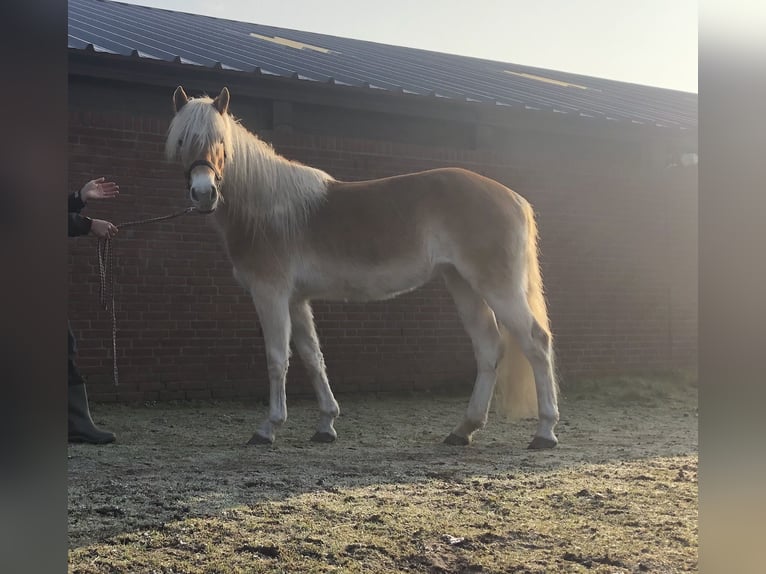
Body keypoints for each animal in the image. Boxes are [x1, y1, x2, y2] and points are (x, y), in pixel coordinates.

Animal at [165, 88, 560, 452]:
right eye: (183, 140)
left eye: (219, 141)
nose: (204, 193)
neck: (268, 209)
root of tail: (514, 198)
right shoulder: (296, 300)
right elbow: (312, 357)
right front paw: (326, 425)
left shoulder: (271, 294)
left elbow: (277, 359)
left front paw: (267, 428)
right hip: (462, 283)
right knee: (488, 347)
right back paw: (463, 430)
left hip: (497, 287)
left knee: (536, 342)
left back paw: (545, 433)